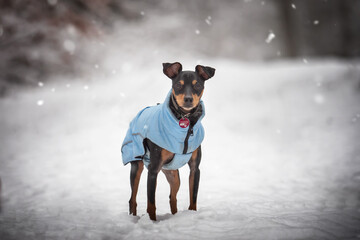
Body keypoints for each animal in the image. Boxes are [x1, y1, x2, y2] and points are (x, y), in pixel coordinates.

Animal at [121, 62, 217, 221]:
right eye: (178, 85)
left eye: (197, 85)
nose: (188, 99)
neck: (185, 119)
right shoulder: (153, 170)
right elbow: (151, 203)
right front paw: (152, 222)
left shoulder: (195, 169)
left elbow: (193, 197)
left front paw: (192, 214)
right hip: (137, 166)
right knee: (132, 199)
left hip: (172, 173)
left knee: (172, 197)